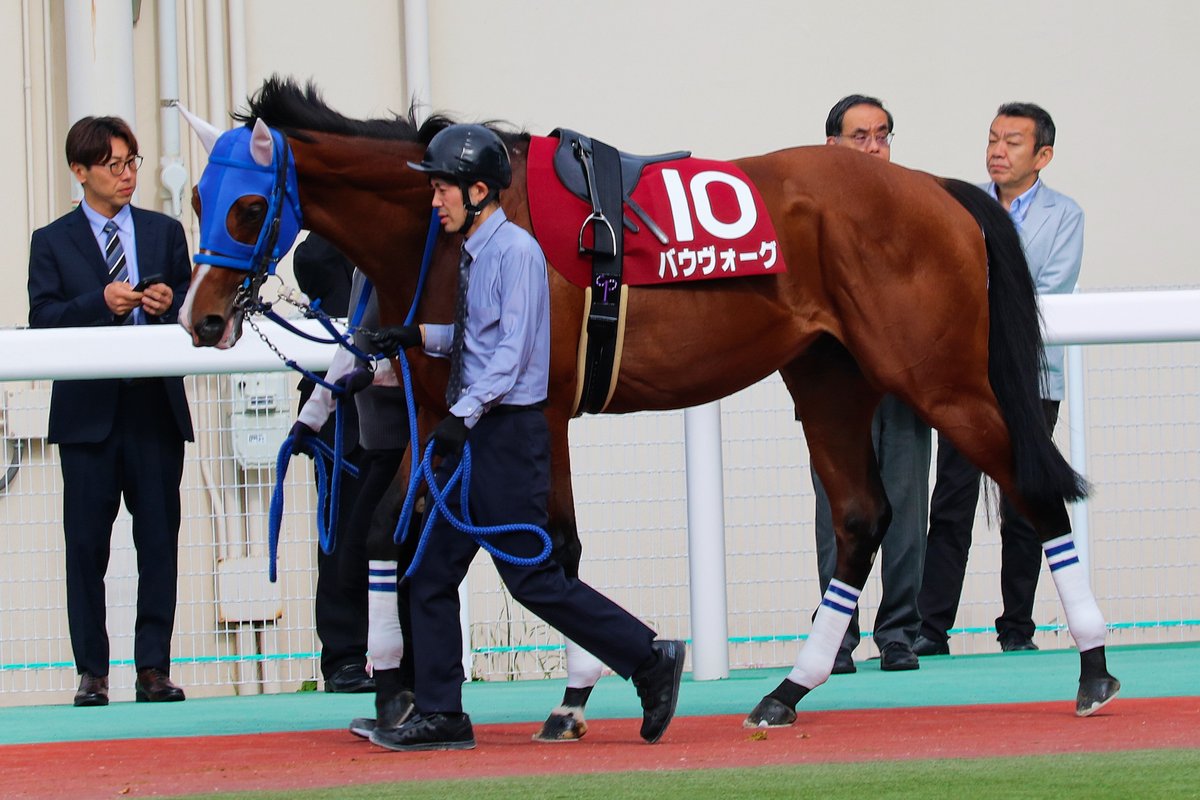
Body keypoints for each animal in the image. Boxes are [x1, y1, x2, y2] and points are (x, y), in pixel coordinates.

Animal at [178, 78, 1120, 732]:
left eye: (250, 204)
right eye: (195, 197)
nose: (201, 317)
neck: (452, 228)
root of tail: (937, 188)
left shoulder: (538, 409)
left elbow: (554, 548)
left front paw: (578, 693)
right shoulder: (447, 408)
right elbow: (383, 534)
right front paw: (391, 692)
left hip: (941, 380)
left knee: (1036, 491)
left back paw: (1095, 671)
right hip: (827, 377)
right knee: (861, 517)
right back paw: (788, 690)